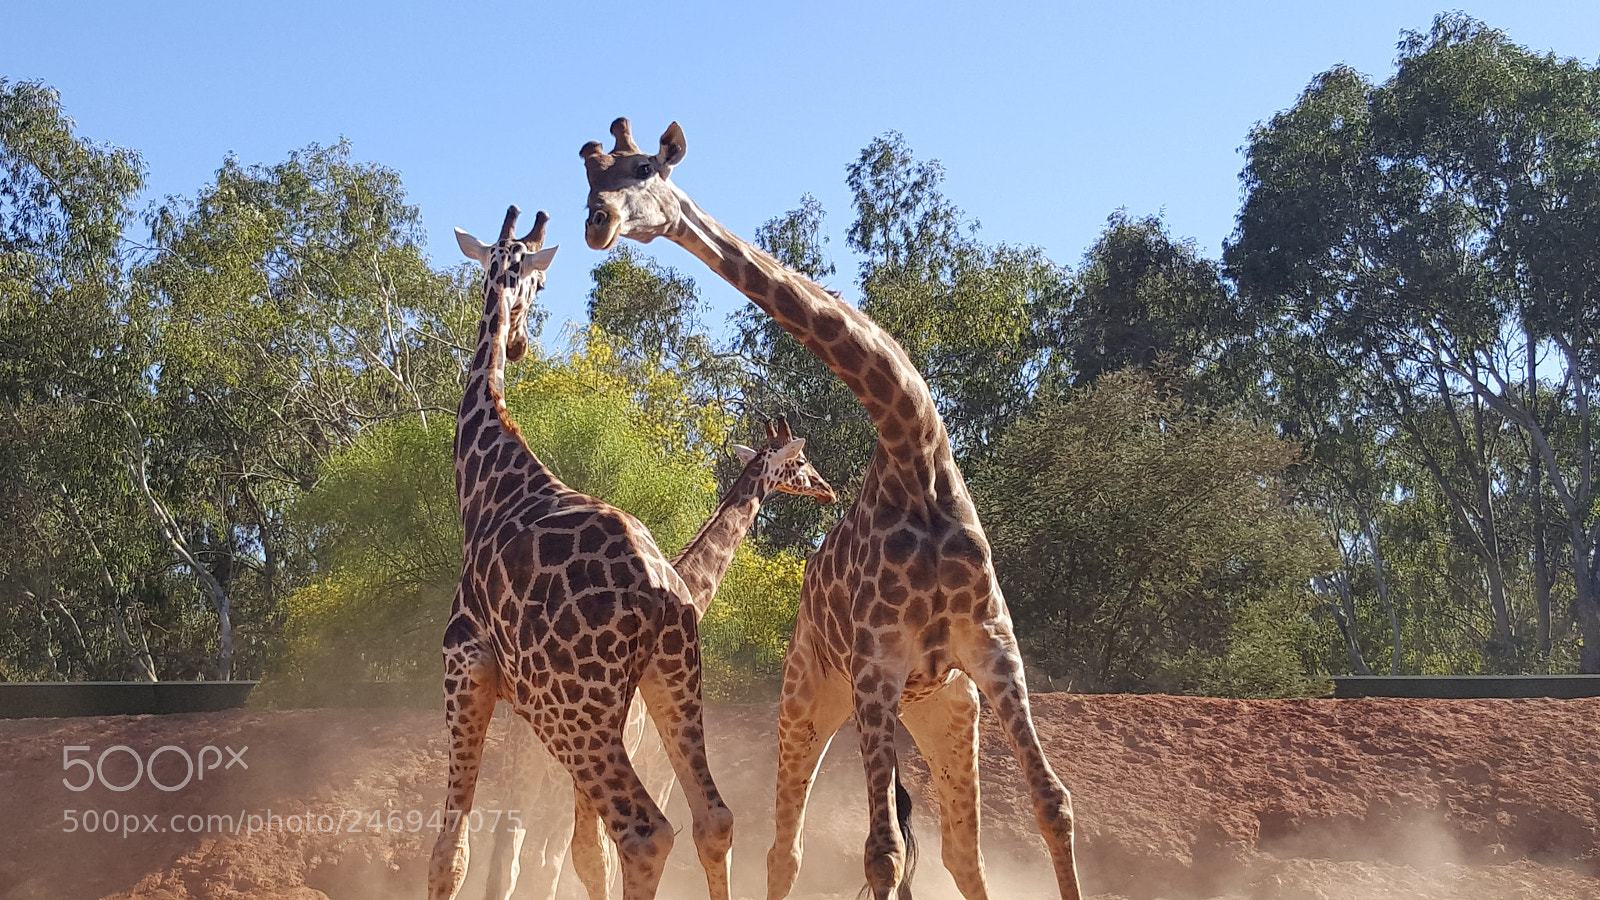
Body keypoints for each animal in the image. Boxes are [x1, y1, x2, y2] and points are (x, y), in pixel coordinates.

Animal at [430, 204, 733, 900]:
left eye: (540, 283)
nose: (517, 344)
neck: (487, 483)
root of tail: (660, 594)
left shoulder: (465, 670)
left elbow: (450, 850)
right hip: (668, 683)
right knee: (712, 819)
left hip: (577, 713)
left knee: (645, 833)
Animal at [485, 419, 835, 900]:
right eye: (800, 461)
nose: (828, 491)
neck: (692, 590)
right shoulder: (656, 762)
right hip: (567, 769)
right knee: (551, 857)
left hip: (520, 765)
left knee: (509, 853)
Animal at [580, 119, 1084, 900]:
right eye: (589, 177)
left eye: (639, 169)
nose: (595, 222)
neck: (914, 454)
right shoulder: (875, 667)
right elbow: (880, 851)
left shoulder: (994, 649)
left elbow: (1053, 803)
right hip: (810, 700)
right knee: (784, 850)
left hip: (944, 710)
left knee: (960, 851)